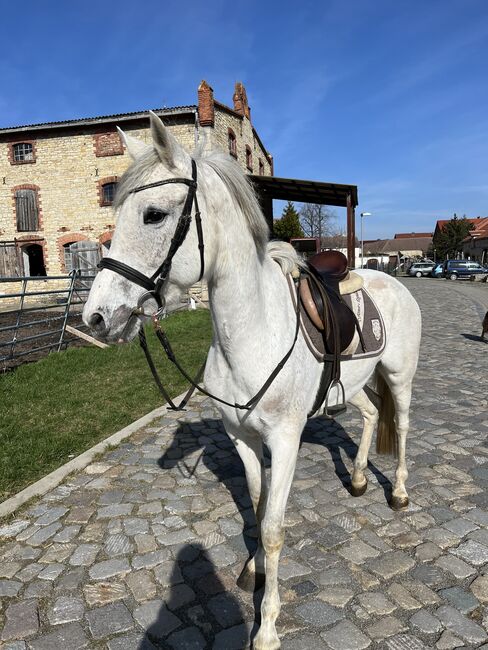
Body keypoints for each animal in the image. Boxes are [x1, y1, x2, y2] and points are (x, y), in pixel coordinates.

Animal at [83, 112, 420, 648]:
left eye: (154, 215)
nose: (96, 317)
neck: (252, 331)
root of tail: (393, 280)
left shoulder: (283, 440)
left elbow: (275, 528)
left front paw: (266, 627)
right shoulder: (241, 437)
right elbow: (258, 511)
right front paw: (251, 571)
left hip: (399, 377)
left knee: (402, 427)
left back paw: (400, 493)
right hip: (356, 388)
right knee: (370, 416)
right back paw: (359, 478)